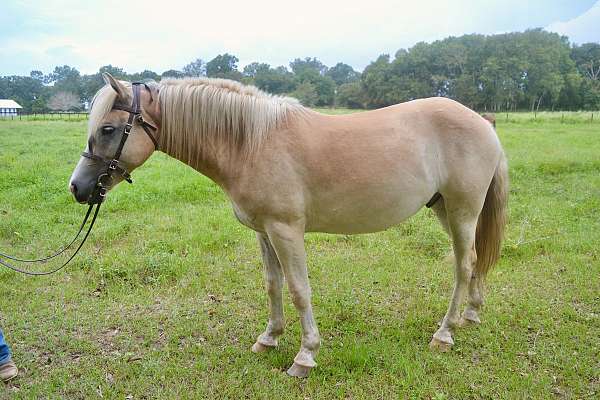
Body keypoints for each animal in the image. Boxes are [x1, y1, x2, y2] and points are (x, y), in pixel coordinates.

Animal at [72, 72, 508, 378]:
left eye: (108, 129)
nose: (78, 187)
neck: (250, 143)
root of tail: (484, 122)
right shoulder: (265, 231)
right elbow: (273, 285)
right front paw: (269, 339)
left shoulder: (286, 231)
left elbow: (299, 289)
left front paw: (305, 355)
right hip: (445, 210)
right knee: (473, 262)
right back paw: (471, 314)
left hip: (463, 210)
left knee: (464, 264)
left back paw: (445, 333)